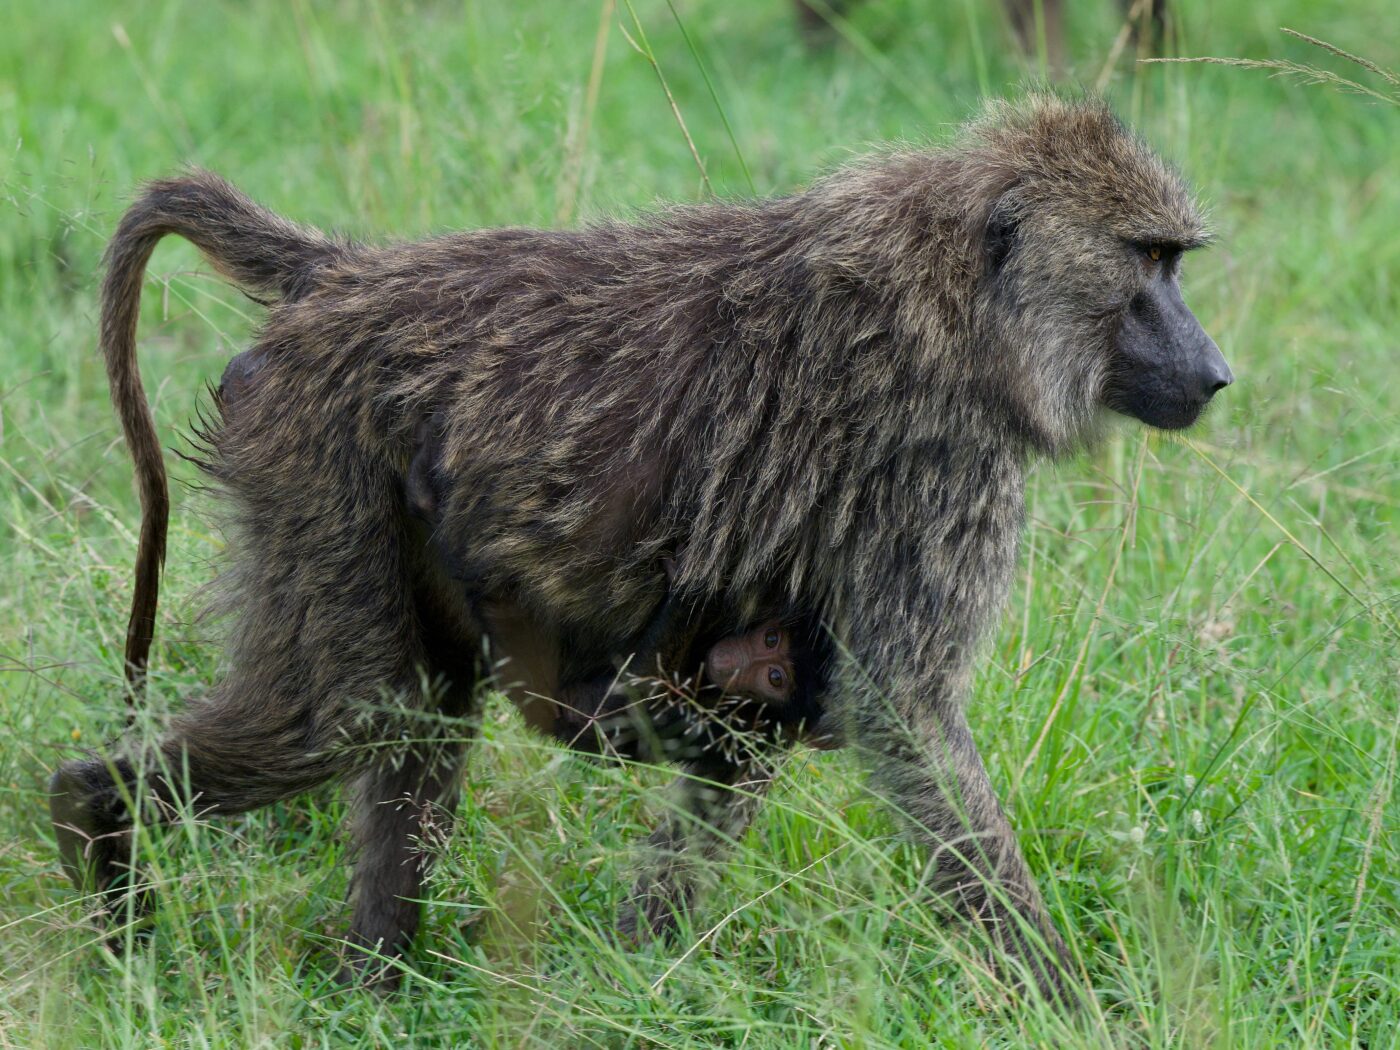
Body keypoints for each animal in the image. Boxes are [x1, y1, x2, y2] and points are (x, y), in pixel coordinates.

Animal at [49, 96, 1230, 1004]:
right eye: (1145, 258)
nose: (1215, 373)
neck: (960, 296)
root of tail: (344, 277)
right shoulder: (937, 469)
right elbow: (902, 711)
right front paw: (1071, 1001)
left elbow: (758, 743)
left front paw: (635, 977)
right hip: (315, 467)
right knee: (348, 717)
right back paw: (94, 829)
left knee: (419, 710)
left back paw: (372, 983)